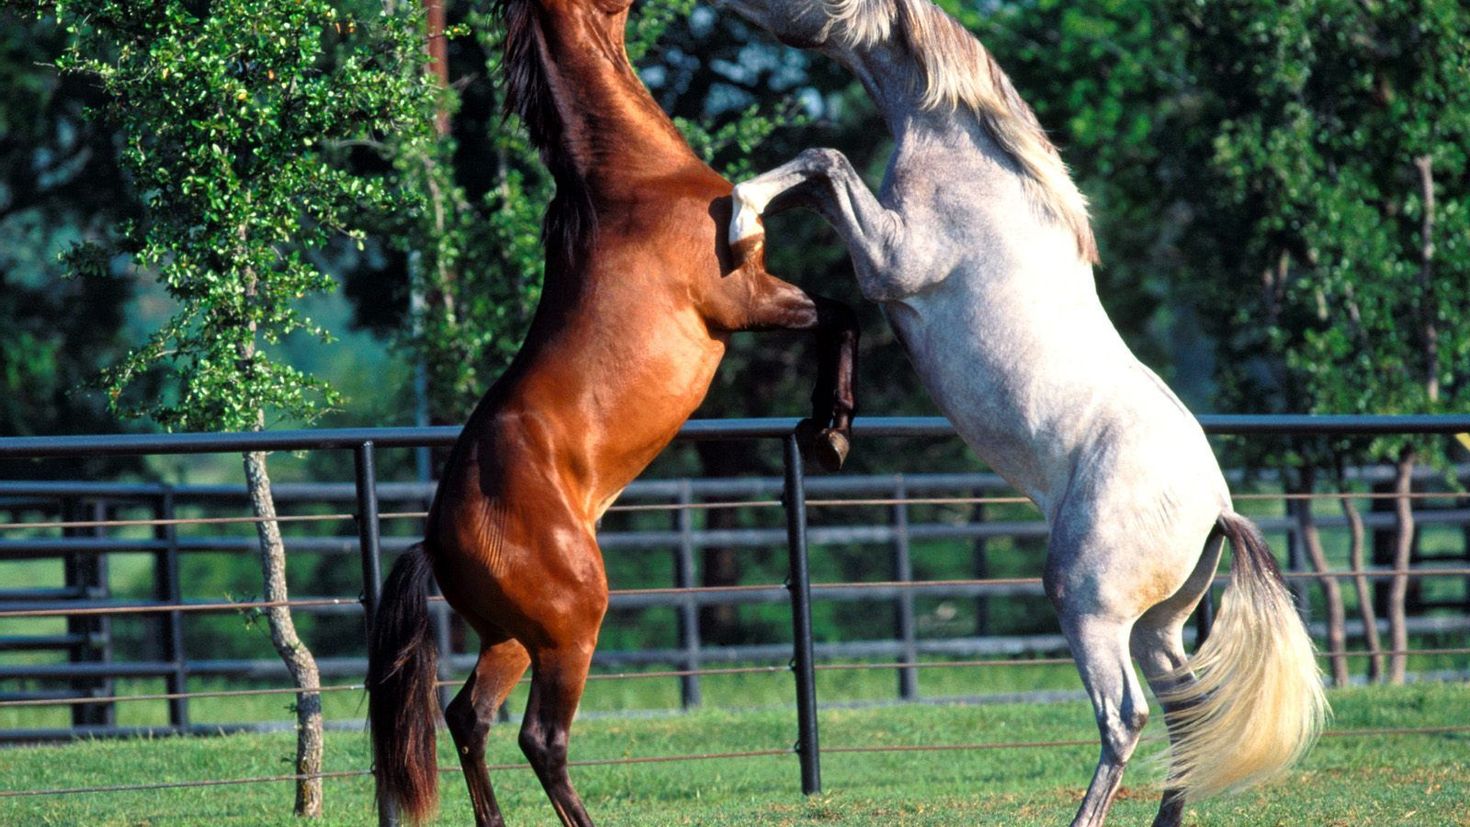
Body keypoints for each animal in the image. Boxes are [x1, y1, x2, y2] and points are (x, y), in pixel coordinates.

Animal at [363, 1, 858, 827]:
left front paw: (827, 429)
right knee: (539, 736)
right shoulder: (744, 299)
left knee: (468, 716)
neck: (634, 178)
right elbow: (841, 305)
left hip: (513, 638)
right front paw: (830, 431)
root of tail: (435, 538)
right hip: (571, 629)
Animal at [717, 1, 1328, 827]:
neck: (972, 159)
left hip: (1087, 604)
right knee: (1187, 704)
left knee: (1126, 715)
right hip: (1156, 624)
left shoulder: (892, 259)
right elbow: (815, 175)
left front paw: (741, 214)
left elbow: (825, 159)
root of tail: (1216, 507)